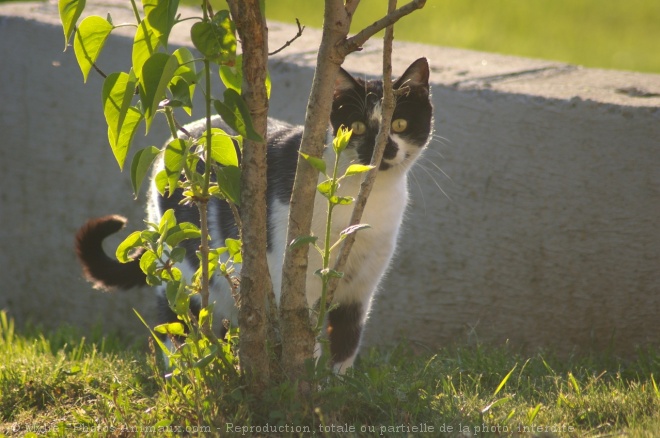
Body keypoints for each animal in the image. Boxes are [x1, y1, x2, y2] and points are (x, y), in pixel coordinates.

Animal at [75, 56, 434, 372]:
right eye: (357, 127)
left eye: (399, 123)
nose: (384, 148)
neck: (363, 198)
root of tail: (181, 136)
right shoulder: (294, 275)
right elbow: (303, 339)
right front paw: (305, 389)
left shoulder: (361, 286)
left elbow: (346, 341)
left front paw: (334, 388)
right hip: (186, 269)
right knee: (174, 320)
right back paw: (185, 373)